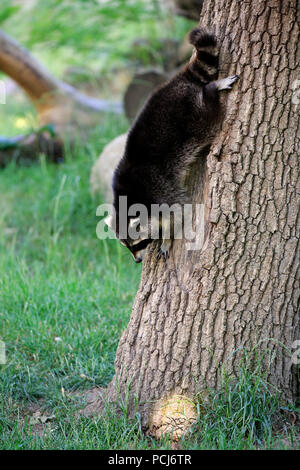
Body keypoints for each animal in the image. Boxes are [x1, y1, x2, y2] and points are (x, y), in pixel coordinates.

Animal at [108, 27, 239, 262]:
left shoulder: (160, 193)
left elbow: (179, 214)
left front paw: (166, 238)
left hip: (194, 117)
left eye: (139, 243)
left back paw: (212, 89)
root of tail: (177, 82)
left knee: (210, 117)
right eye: (127, 246)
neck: (128, 199)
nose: (137, 260)